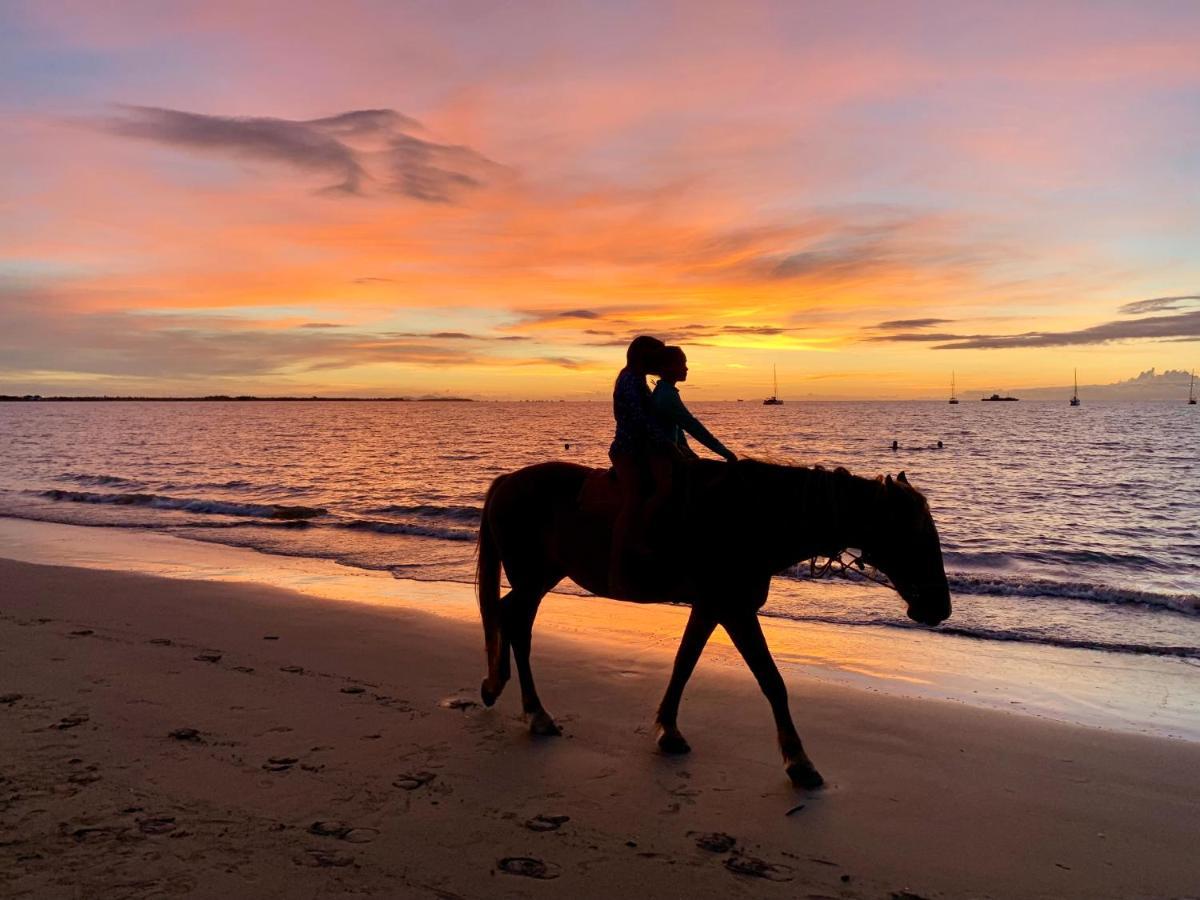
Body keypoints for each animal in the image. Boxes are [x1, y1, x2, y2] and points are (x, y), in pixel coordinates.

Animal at [472, 460, 950, 787]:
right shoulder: (735, 608)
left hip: (542, 576)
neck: (752, 518)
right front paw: (798, 761)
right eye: (915, 536)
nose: (940, 608)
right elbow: (772, 681)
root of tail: (507, 482)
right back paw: (532, 711)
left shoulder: (711, 606)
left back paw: (507, 693)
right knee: (516, 622)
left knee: (512, 617)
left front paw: (668, 729)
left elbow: (684, 663)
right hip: (533, 576)